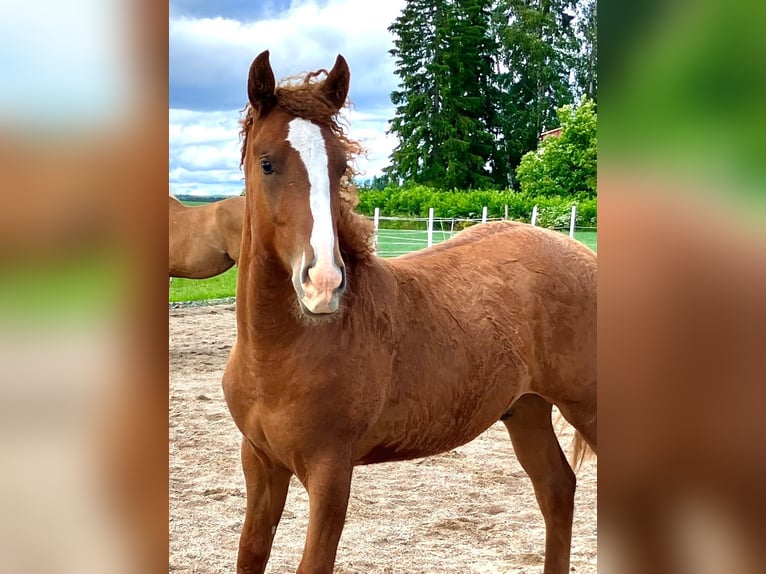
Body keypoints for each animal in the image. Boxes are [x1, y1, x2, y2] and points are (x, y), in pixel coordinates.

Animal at [222, 50, 597, 574]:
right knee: (557, 489)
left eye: (339, 166)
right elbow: (251, 551)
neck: (276, 353)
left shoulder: (330, 471)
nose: (323, 283)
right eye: (267, 163)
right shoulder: (259, 461)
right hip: (526, 410)